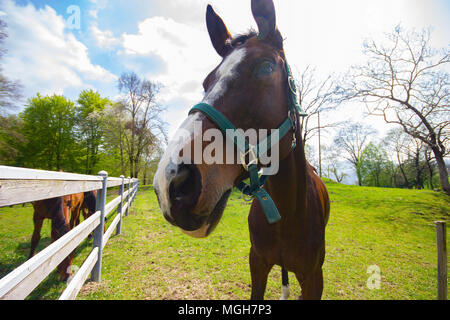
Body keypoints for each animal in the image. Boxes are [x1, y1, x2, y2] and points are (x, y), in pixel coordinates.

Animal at [153, 0, 328, 300]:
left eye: (266, 67)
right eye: (206, 82)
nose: (170, 181)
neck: (287, 214)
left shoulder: (314, 277)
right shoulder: (256, 262)